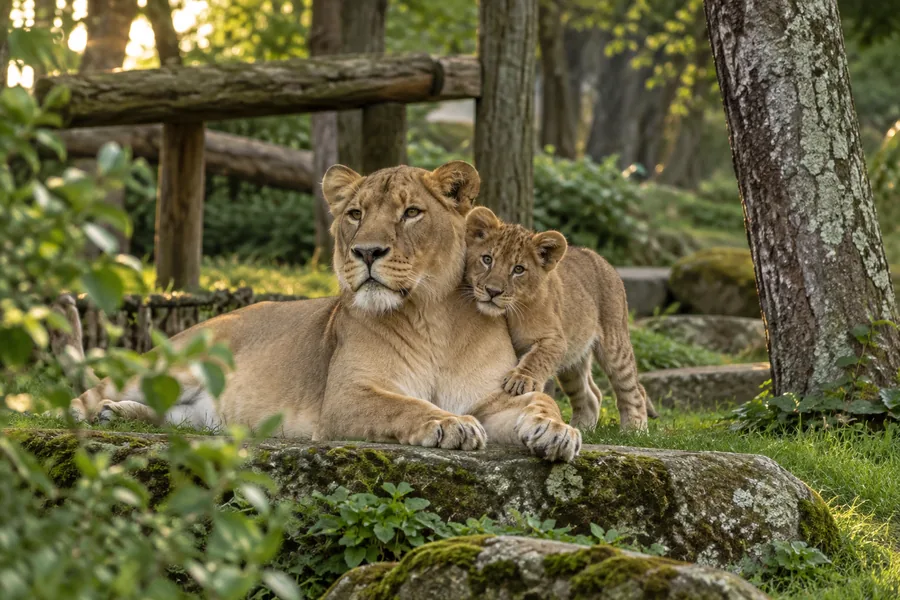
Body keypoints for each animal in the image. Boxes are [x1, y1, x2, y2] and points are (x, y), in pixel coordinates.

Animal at [62, 162, 582, 462]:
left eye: (411, 212)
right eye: (355, 214)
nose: (366, 252)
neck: (431, 315)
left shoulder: (490, 397)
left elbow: (540, 403)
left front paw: (556, 432)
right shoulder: (347, 395)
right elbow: (406, 404)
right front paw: (447, 424)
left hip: (208, 416)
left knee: (177, 418)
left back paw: (118, 414)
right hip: (173, 363)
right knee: (79, 399)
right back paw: (96, 414)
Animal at [463, 207, 656, 431]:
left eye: (518, 269)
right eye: (487, 259)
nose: (493, 291)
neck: (508, 314)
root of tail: (599, 257)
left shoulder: (555, 340)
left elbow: (536, 358)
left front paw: (520, 380)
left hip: (615, 345)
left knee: (633, 389)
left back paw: (634, 429)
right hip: (573, 359)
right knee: (590, 395)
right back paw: (581, 428)